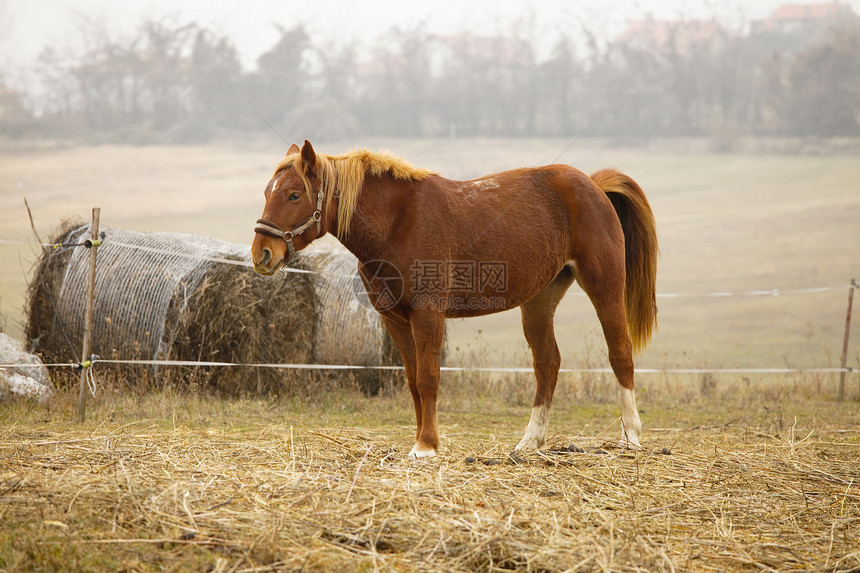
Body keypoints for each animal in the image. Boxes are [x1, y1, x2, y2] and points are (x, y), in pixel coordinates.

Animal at [250, 141, 660, 458]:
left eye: (294, 194)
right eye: (267, 192)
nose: (262, 254)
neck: (399, 222)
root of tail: (593, 185)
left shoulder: (428, 314)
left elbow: (429, 378)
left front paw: (427, 446)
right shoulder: (393, 319)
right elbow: (413, 382)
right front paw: (422, 441)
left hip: (605, 287)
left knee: (620, 354)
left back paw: (630, 437)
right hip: (540, 300)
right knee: (548, 364)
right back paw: (530, 442)